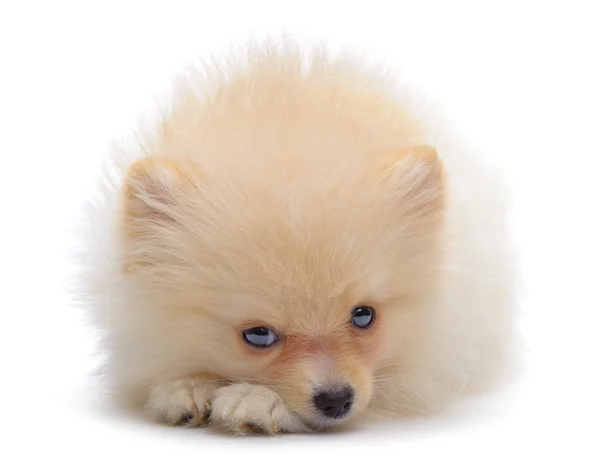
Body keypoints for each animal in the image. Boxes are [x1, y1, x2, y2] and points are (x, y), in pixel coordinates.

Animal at [74, 38, 516, 432]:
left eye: (364, 315)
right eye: (258, 335)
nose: (336, 399)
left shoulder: (431, 362)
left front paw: (256, 401)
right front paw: (187, 387)